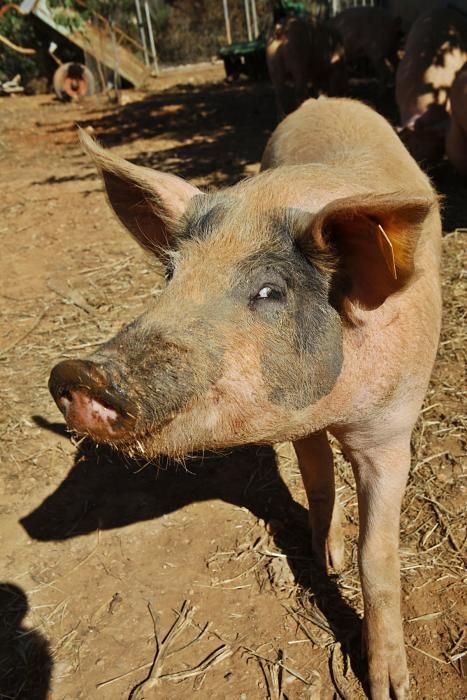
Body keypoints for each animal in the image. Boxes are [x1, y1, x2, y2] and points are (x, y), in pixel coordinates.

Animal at [50, 98, 442, 700]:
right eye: (171, 273)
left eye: (269, 291)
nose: (77, 372)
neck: (338, 411)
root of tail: (324, 101)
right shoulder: (299, 422)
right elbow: (317, 480)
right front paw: (325, 559)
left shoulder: (391, 428)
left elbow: (377, 559)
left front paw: (391, 688)